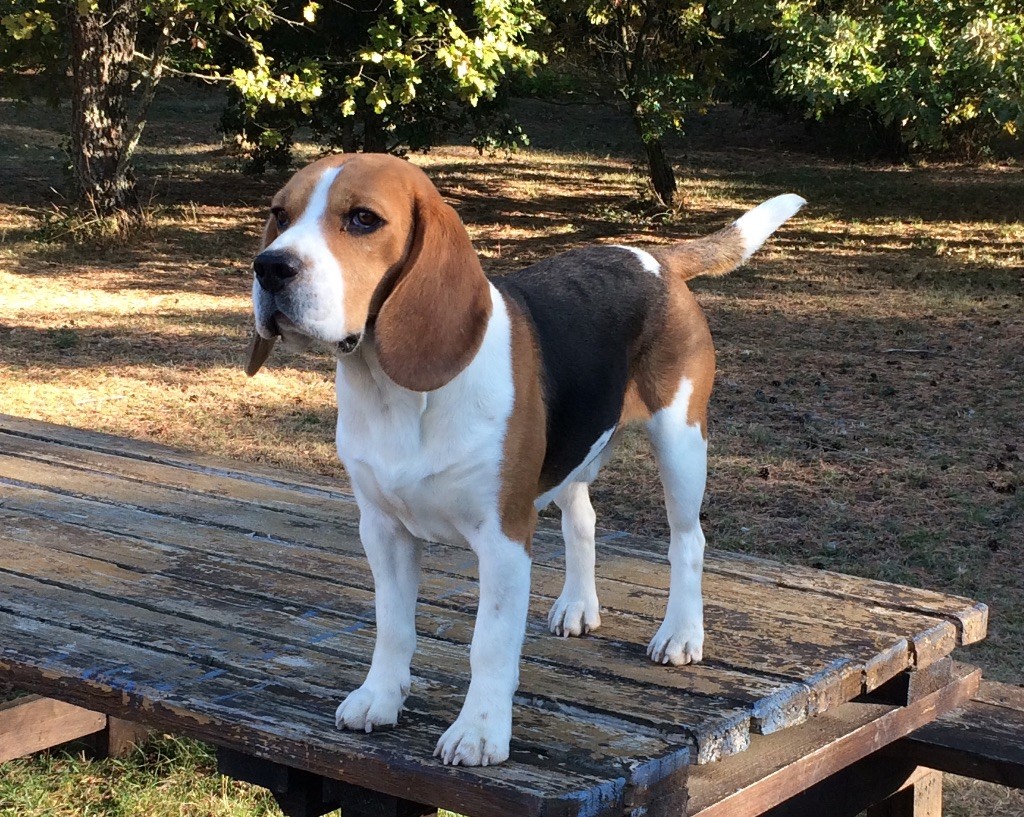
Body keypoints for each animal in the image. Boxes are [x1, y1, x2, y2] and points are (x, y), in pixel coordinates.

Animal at [245, 153, 804, 767]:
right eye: (280, 214)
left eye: (363, 219)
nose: (269, 268)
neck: (395, 393)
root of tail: (654, 258)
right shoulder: (383, 531)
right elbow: (392, 625)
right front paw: (380, 697)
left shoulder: (504, 539)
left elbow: (488, 644)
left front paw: (479, 732)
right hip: (575, 454)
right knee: (583, 518)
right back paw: (578, 606)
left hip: (680, 442)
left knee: (688, 540)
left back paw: (681, 633)